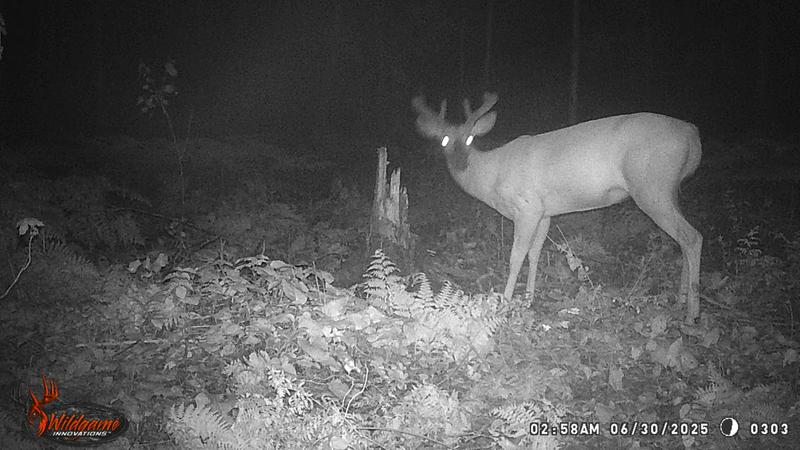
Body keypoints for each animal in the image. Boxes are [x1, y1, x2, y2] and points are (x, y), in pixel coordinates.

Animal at [412, 92, 703, 323]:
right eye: (444, 140)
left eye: (471, 139)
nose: (460, 162)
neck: (492, 177)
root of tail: (692, 133)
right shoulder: (544, 212)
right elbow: (535, 254)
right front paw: (529, 298)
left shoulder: (527, 206)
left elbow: (516, 256)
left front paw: (505, 301)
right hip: (668, 189)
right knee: (684, 238)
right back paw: (681, 299)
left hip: (651, 186)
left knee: (692, 237)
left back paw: (692, 313)